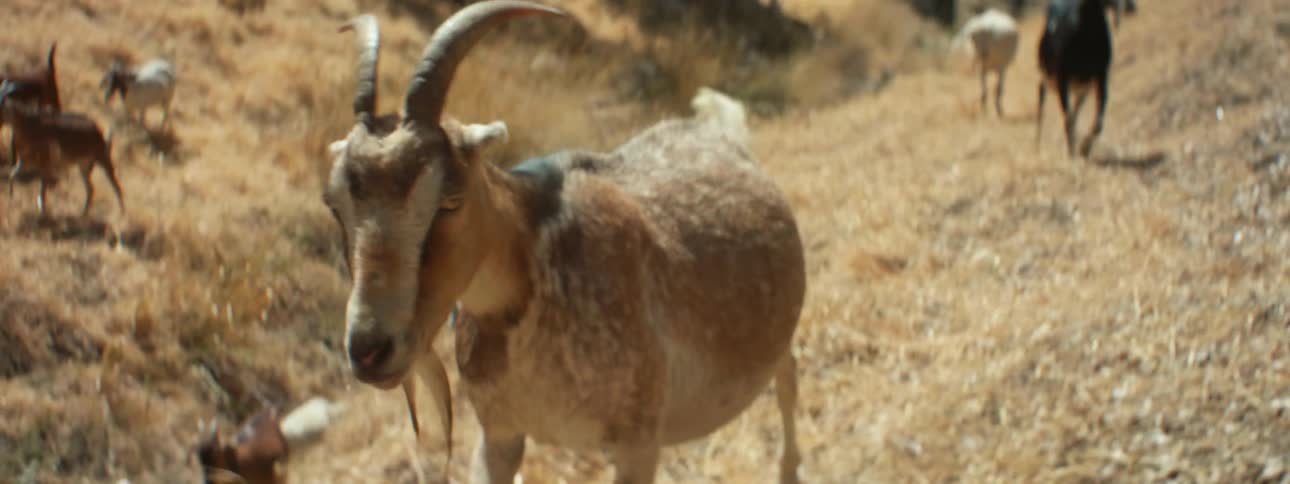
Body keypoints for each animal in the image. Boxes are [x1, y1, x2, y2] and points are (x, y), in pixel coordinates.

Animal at [1, 81, 125, 217]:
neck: (30, 125)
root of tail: (98, 131)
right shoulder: (25, 162)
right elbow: (12, 174)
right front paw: (11, 196)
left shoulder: (45, 166)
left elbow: (42, 191)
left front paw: (42, 212)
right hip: (83, 165)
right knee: (90, 188)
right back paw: (82, 214)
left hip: (102, 159)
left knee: (115, 185)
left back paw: (121, 214)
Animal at [322, 2, 806, 483]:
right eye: (333, 204)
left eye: (451, 200)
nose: (369, 350)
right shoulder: (500, 432)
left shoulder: (639, 439)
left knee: (788, 377)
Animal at [1036, 0, 1114, 158]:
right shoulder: (1062, 78)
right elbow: (1068, 119)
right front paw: (1072, 152)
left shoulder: (1101, 76)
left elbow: (1098, 122)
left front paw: (1084, 149)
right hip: (1046, 79)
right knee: (1042, 105)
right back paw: (1037, 147)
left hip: (1082, 88)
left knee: (1076, 110)